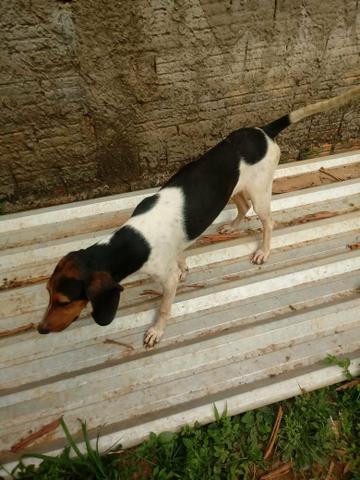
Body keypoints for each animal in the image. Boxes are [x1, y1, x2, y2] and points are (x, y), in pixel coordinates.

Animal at [39, 86, 360, 346]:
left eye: (64, 301)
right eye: (47, 292)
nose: (41, 330)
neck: (131, 240)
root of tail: (264, 132)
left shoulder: (166, 280)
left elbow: (165, 306)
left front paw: (156, 331)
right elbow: (181, 257)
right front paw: (184, 265)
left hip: (260, 193)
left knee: (268, 221)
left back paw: (264, 251)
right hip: (232, 188)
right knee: (242, 208)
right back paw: (232, 227)